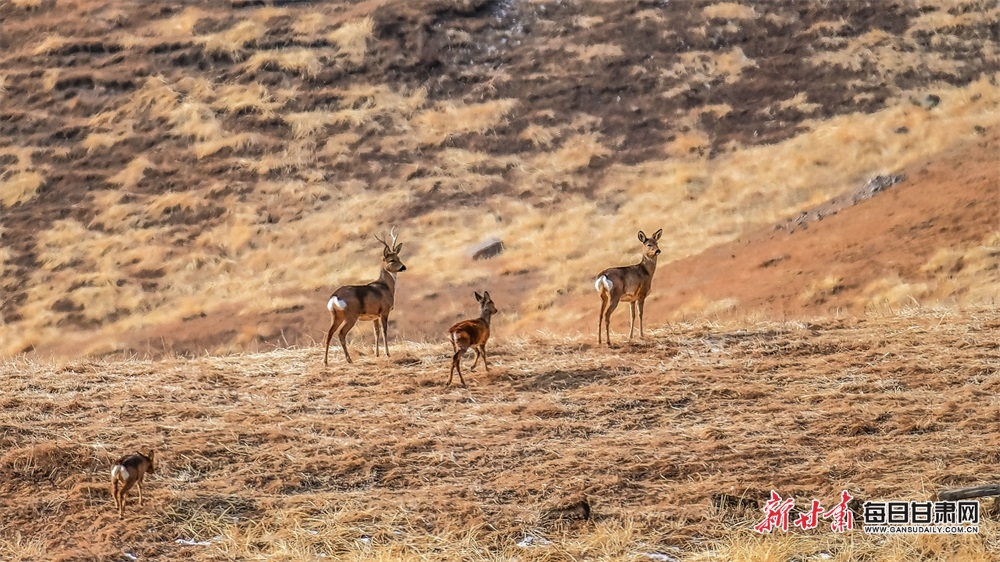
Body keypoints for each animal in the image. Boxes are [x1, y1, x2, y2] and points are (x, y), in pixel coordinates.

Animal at [326, 226, 408, 364]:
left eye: (399, 258)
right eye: (391, 260)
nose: (403, 267)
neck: (386, 287)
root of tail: (335, 297)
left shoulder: (374, 315)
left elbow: (376, 332)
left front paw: (377, 354)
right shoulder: (384, 311)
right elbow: (384, 331)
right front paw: (387, 354)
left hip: (335, 315)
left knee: (329, 333)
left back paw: (326, 362)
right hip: (351, 316)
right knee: (341, 333)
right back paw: (349, 360)